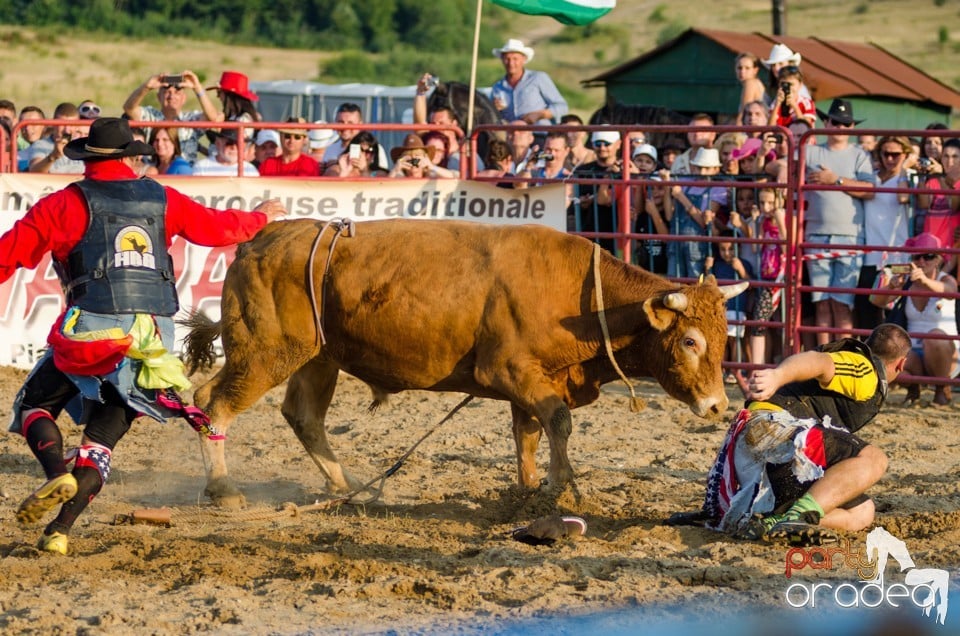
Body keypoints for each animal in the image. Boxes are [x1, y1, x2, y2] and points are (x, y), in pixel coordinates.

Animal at [184, 219, 748, 506]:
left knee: (303, 416)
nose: (718, 406)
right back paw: (222, 488)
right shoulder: (507, 370)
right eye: (690, 341)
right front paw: (563, 489)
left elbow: (529, 434)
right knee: (210, 402)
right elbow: (558, 423)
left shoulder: (533, 380)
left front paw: (529, 490)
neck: (583, 296)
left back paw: (346, 487)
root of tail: (260, 240)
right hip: (266, 351)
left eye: (724, 340)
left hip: (318, 356)